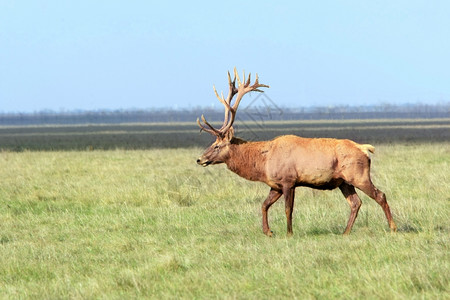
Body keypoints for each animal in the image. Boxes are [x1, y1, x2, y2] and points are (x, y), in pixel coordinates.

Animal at [197, 68, 398, 237]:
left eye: (216, 146)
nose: (199, 159)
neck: (263, 163)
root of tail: (365, 149)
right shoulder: (275, 185)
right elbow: (264, 205)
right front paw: (268, 232)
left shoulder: (289, 180)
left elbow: (288, 209)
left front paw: (289, 233)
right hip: (344, 181)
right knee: (355, 203)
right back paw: (345, 232)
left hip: (358, 175)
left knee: (380, 195)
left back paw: (393, 227)